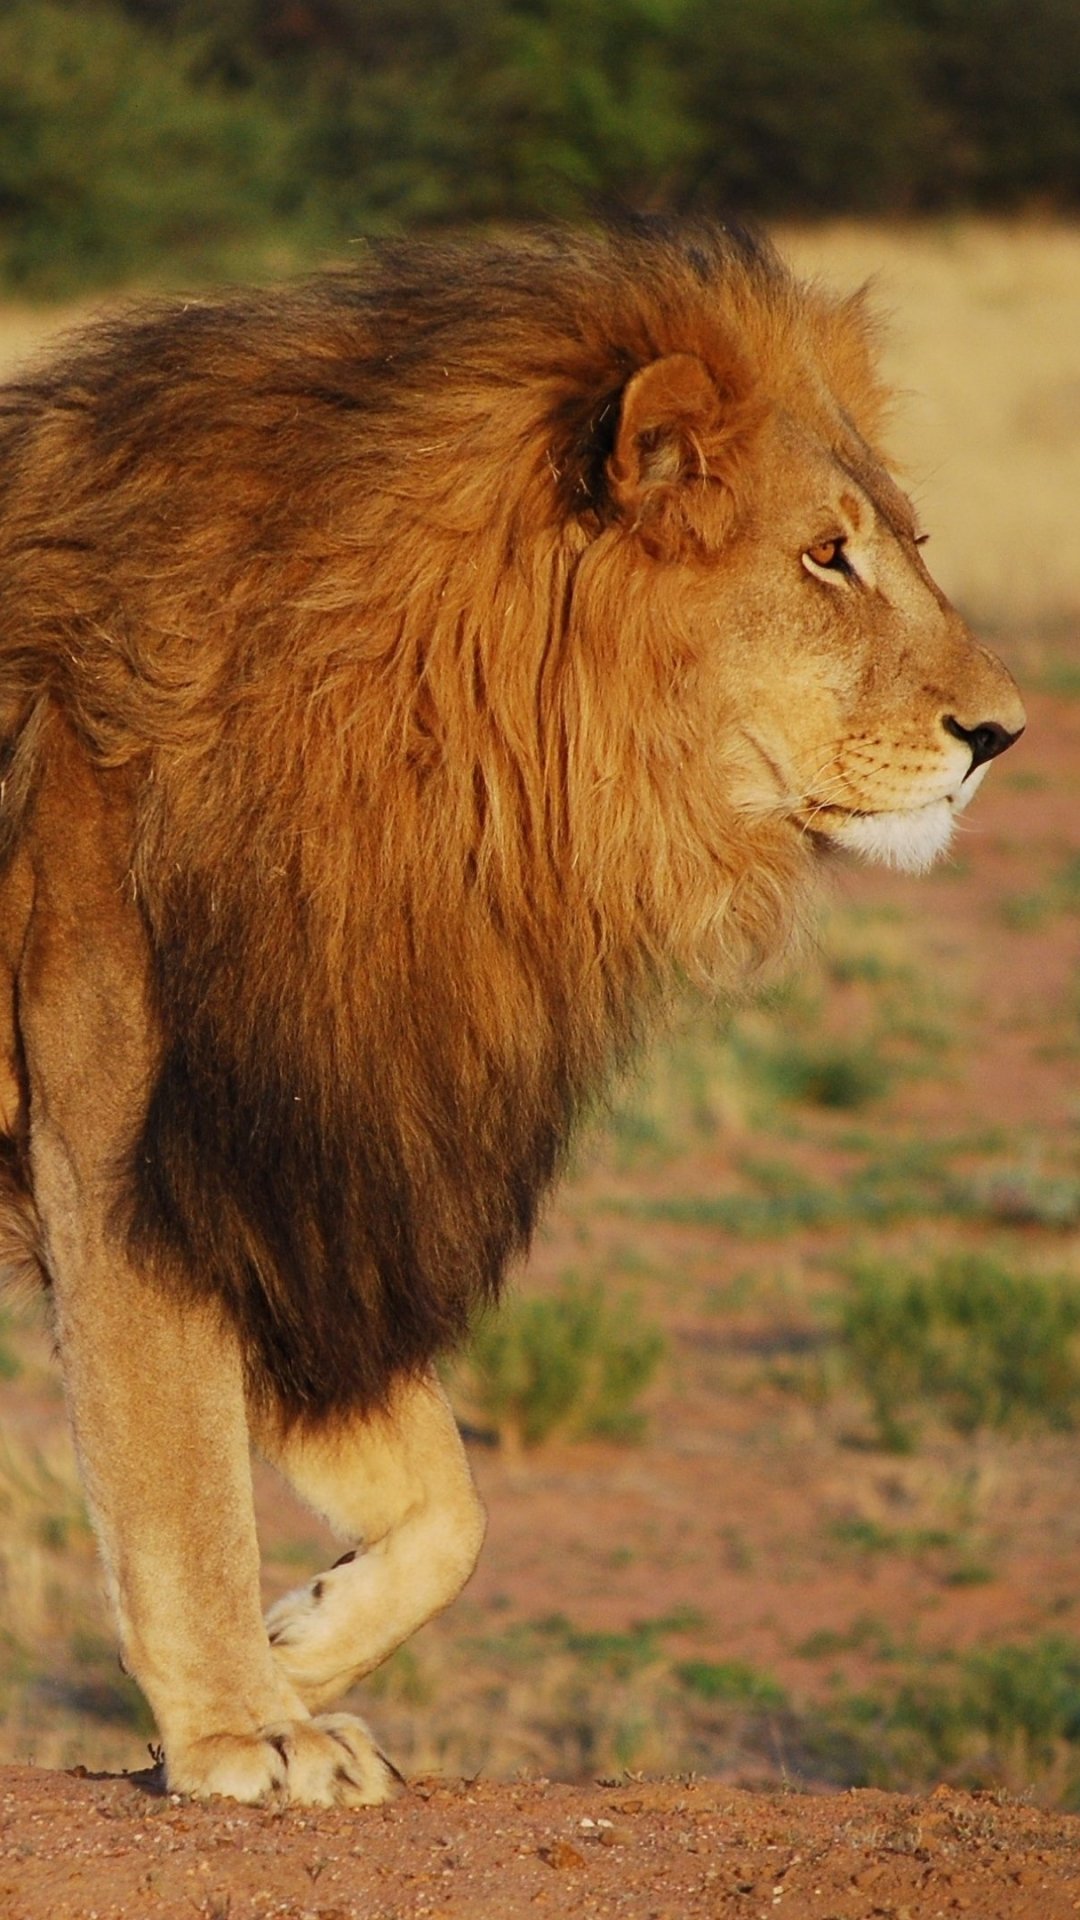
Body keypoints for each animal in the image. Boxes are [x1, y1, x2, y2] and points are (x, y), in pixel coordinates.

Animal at [0, 217, 1014, 1804]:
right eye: (825, 556)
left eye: (904, 543)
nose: (1006, 735)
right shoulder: (132, 1146)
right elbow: (177, 1475)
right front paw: (240, 1731)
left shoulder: (309, 1157)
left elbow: (449, 1500)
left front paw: (300, 1649)